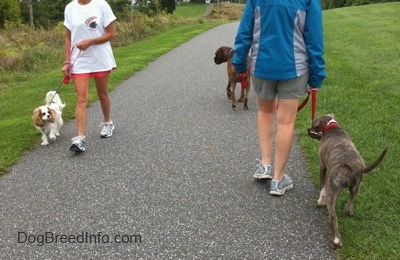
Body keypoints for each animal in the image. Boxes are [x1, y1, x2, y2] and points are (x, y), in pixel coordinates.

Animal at [306, 114, 388, 250]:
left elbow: (322, 185)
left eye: (314, 125)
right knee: (350, 204)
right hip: (356, 186)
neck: (331, 127)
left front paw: (320, 199)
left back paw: (336, 240)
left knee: (333, 214)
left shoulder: (322, 167)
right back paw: (348, 212)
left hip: (333, 187)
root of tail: (352, 167)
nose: (308, 130)